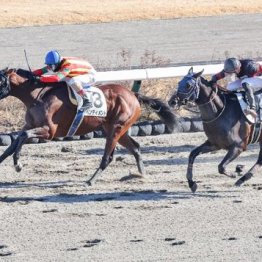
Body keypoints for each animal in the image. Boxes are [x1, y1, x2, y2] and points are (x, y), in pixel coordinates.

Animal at [0, 68, 178, 185]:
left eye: (0, 80)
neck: (38, 97)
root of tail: (133, 94)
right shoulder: (29, 125)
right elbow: (14, 142)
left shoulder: (49, 132)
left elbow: (23, 137)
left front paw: (18, 165)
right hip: (115, 129)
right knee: (135, 148)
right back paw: (142, 175)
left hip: (116, 128)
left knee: (108, 157)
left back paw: (91, 180)